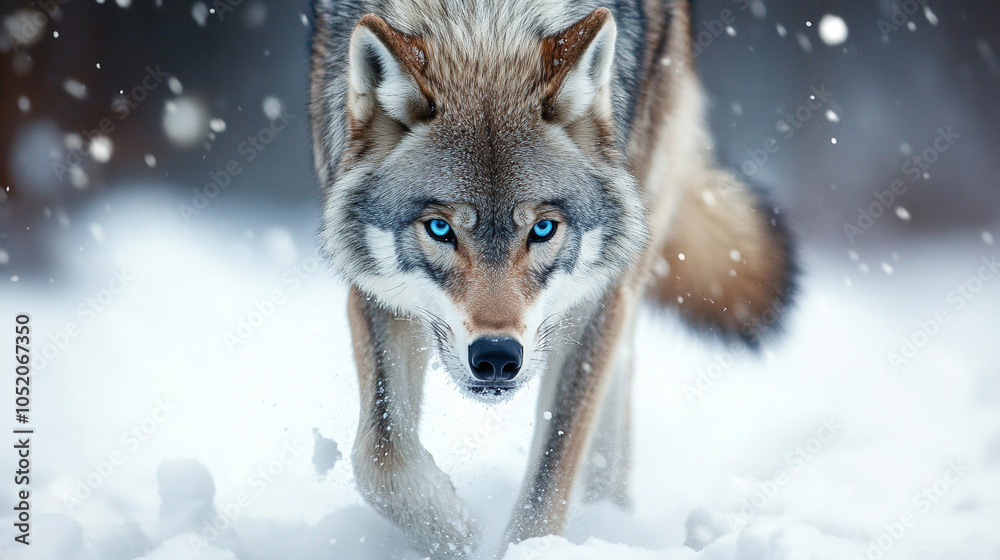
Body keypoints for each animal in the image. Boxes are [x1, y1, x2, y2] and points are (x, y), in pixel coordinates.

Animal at [309, 0, 796, 556]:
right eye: (439, 228)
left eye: (542, 229)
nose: (496, 357)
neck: (484, 26)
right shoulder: (377, 293)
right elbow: (380, 457)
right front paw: (459, 533)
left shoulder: (594, 301)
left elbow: (550, 478)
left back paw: (610, 521)